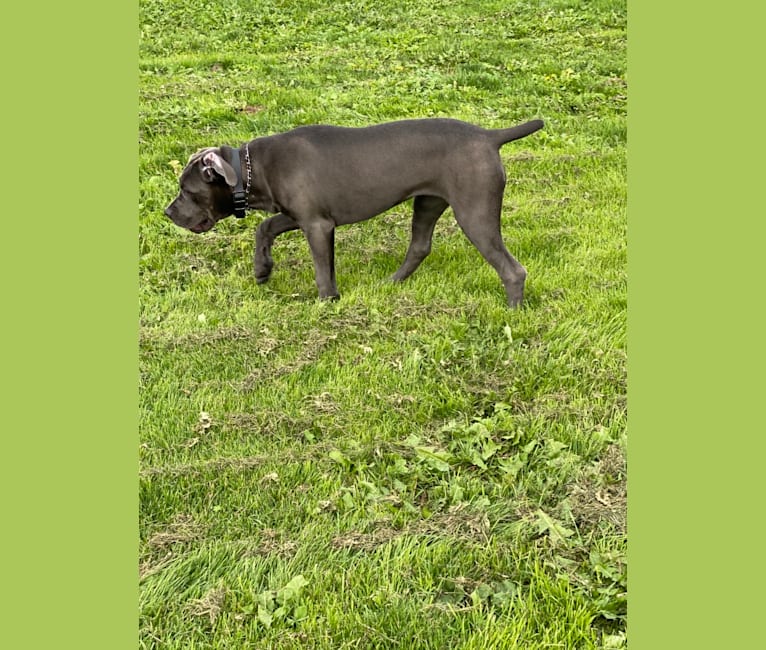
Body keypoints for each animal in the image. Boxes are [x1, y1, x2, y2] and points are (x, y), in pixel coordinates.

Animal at [164, 117, 544, 306]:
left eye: (187, 190)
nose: (168, 213)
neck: (251, 168)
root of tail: (489, 136)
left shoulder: (316, 225)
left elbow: (322, 270)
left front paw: (326, 302)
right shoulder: (300, 216)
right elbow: (265, 228)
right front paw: (262, 269)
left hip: (474, 212)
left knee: (512, 269)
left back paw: (512, 312)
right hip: (427, 202)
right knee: (420, 246)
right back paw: (390, 283)